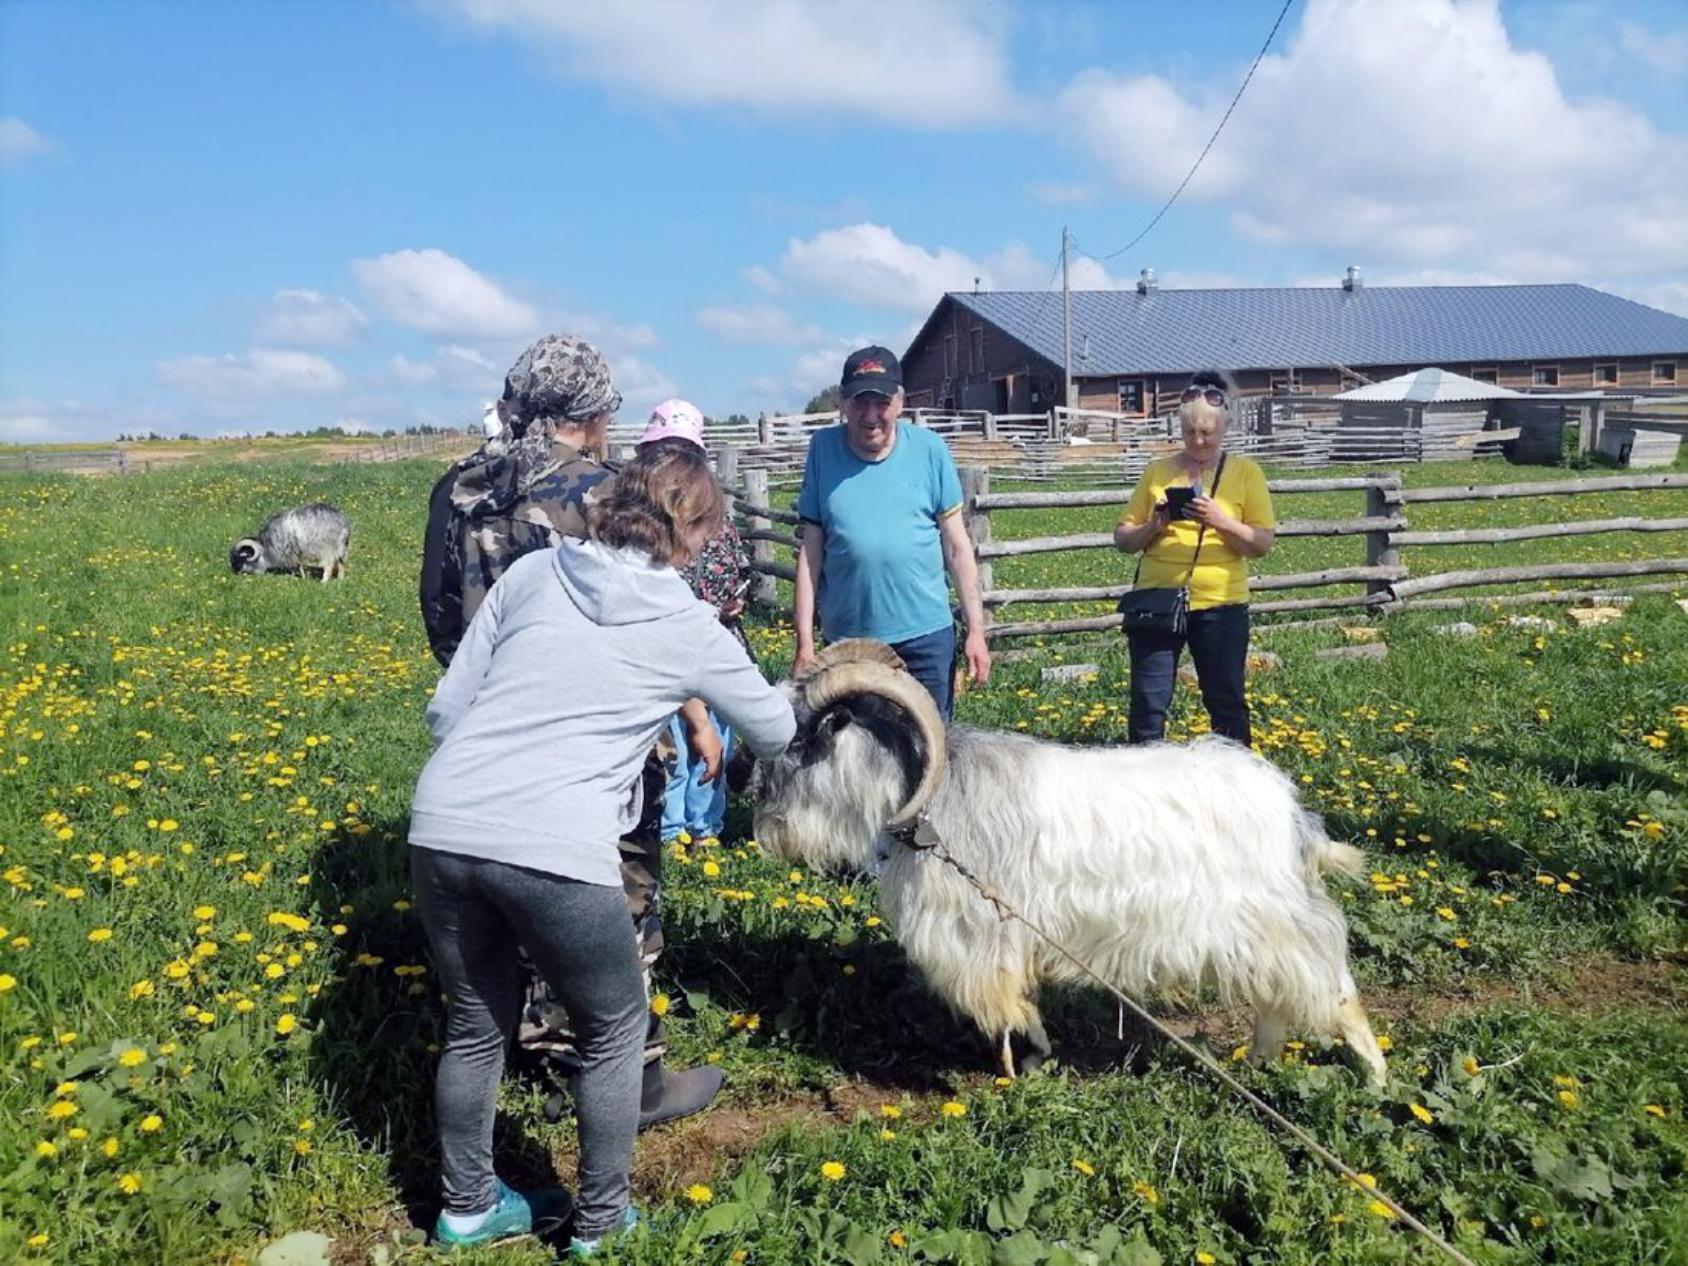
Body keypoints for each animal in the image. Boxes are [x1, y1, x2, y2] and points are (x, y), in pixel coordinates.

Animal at [752, 644, 1384, 1093]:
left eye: (803, 738)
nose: (748, 790)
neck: (931, 803)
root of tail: (1294, 815)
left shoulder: (982, 933)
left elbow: (1006, 998)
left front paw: (1020, 1062)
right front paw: (1034, 1055)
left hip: (1282, 923)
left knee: (1334, 991)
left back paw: (1375, 1081)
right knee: (1277, 1000)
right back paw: (1257, 1063)